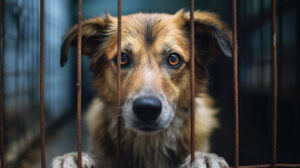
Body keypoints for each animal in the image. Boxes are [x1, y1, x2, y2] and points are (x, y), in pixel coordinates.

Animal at [51, 9, 232, 168]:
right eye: (122, 58)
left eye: (174, 59)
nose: (147, 108)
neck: (149, 144)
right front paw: (72, 158)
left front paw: (203, 159)